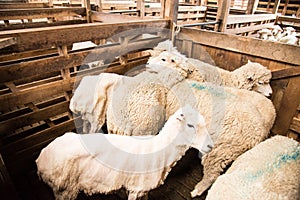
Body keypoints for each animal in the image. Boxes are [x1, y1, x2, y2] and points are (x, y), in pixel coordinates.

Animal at [35, 104, 213, 200]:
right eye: (190, 125)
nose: (210, 146)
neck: (160, 148)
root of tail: (42, 156)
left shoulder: (141, 189)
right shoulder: (136, 188)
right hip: (64, 190)